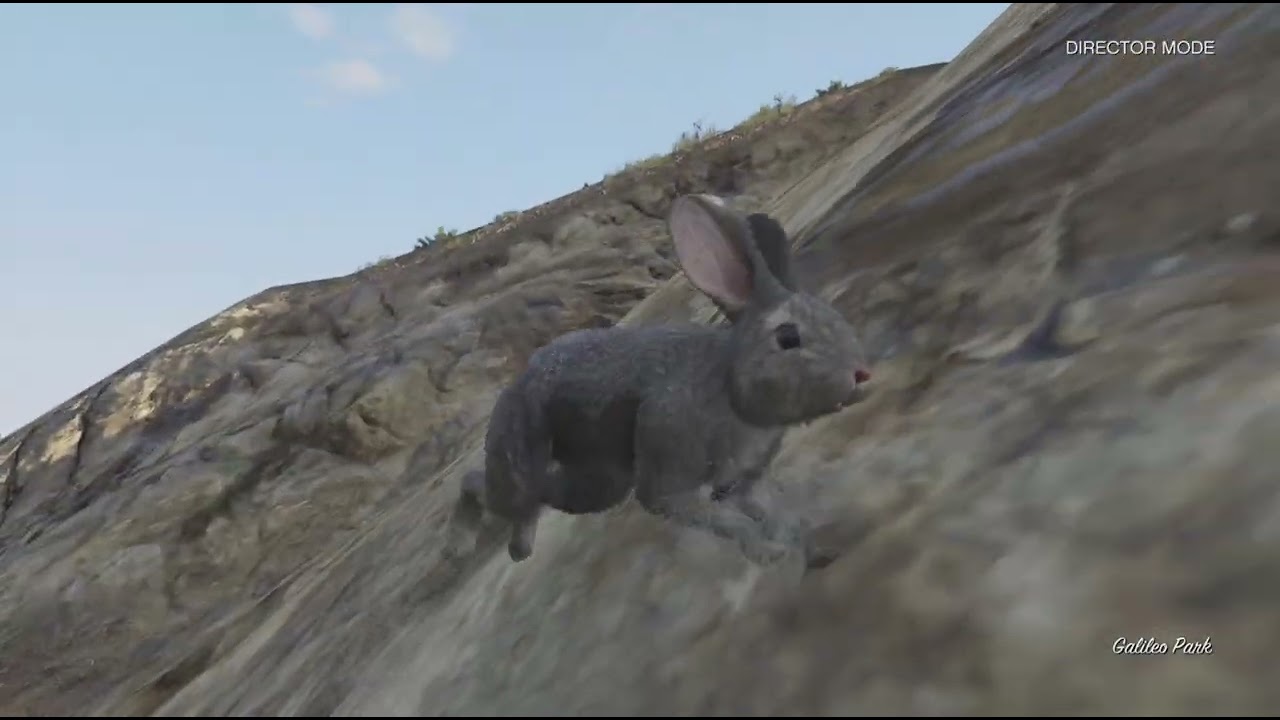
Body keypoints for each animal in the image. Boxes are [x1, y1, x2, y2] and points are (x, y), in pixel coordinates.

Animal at [450, 193, 873, 568]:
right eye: (787, 338)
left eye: (836, 318)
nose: (861, 375)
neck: (728, 384)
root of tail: (518, 382)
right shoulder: (669, 477)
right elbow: (723, 520)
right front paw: (769, 556)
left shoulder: (746, 477)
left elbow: (769, 512)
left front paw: (817, 553)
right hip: (532, 456)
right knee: (488, 486)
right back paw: (468, 540)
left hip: (597, 479)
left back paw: (518, 548)